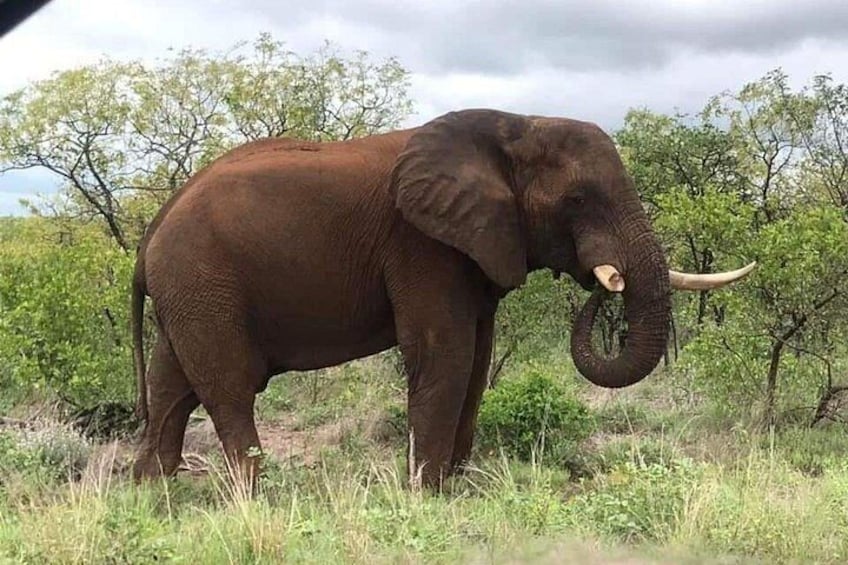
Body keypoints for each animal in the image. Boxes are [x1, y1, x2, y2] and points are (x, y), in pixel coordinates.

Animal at [130, 109, 754, 488]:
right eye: (577, 200)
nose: (604, 283)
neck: (516, 124)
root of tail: (152, 229)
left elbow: (477, 361)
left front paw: (456, 486)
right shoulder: (421, 244)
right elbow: (445, 355)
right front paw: (426, 493)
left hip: (188, 290)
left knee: (170, 386)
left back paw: (152, 493)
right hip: (203, 280)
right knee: (229, 387)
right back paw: (258, 495)